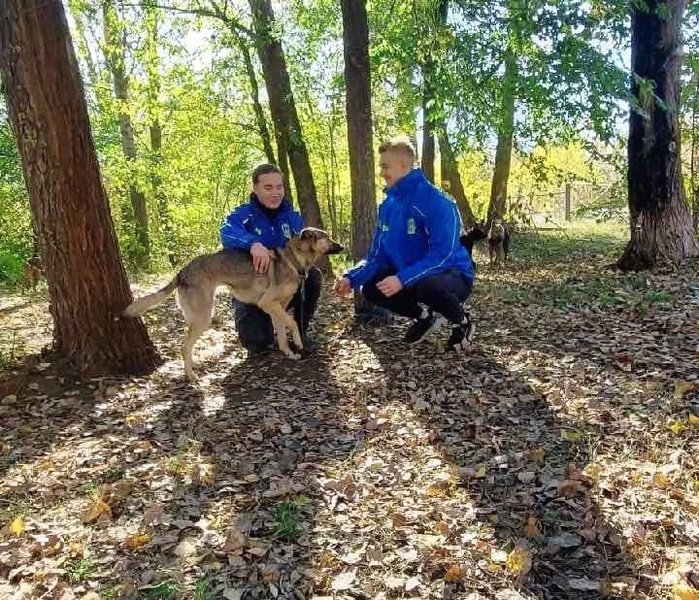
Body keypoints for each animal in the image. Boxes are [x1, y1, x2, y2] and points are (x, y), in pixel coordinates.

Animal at [125, 227, 344, 378]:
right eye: (326, 237)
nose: (342, 246)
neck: (294, 260)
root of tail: (181, 272)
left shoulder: (277, 308)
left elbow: (282, 333)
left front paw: (288, 353)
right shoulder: (268, 303)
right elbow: (293, 323)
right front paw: (298, 343)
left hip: (199, 317)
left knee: (187, 346)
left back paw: (193, 366)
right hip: (204, 316)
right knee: (184, 346)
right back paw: (191, 376)